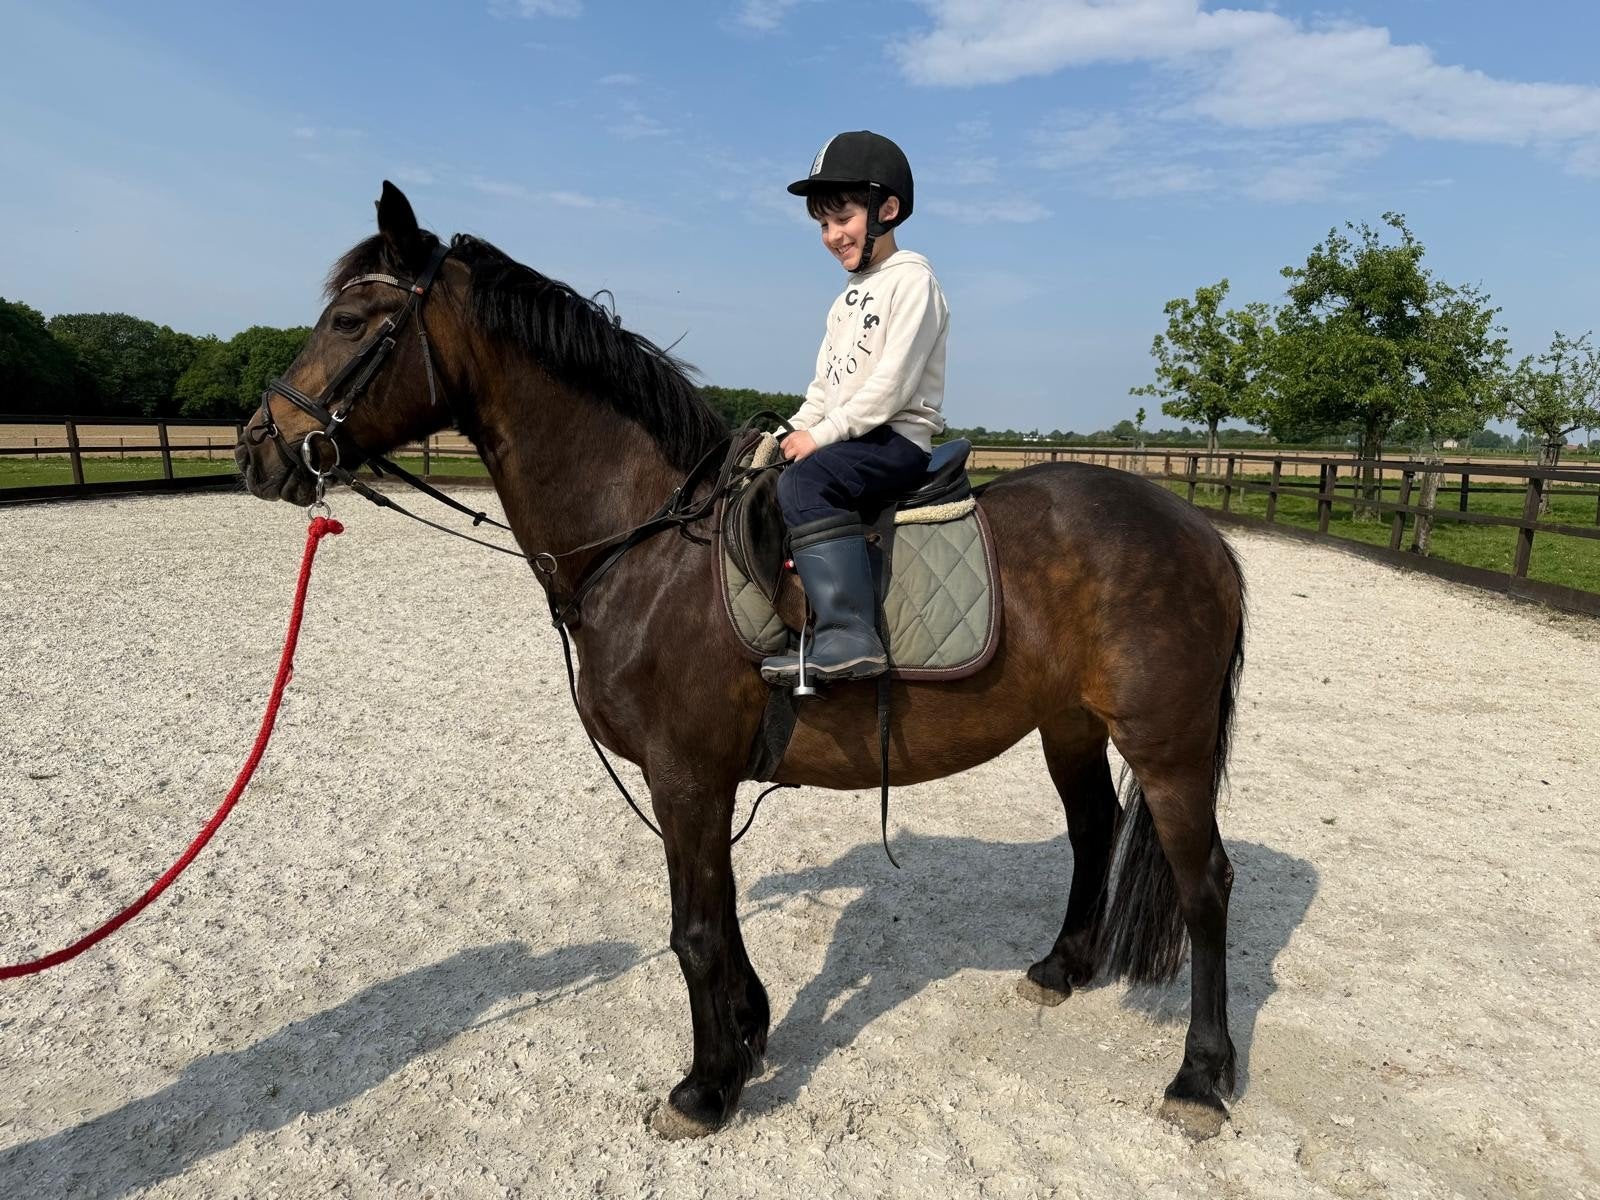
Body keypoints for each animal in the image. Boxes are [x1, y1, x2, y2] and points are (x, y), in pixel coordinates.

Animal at [234, 182, 1247, 1141]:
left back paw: (1200, 1078)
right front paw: (750, 1032)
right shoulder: (701, 779)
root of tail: (1200, 531)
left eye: (351, 321)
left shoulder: (685, 773)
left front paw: (705, 1086)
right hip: (1069, 724)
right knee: (1093, 830)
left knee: (1205, 886)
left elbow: (693, 929)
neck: (642, 540)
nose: (256, 448)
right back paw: (1062, 967)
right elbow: (717, 916)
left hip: (1167, 743)